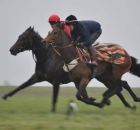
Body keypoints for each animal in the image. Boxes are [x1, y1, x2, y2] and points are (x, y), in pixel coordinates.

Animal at [2, 26, 140, 110]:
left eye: (24, 37)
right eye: (19, 36)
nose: (12, 50)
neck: (47, 57)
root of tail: (125, 54)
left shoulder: (56, 81)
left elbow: (56, 97)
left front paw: (53, 112)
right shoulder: (38, 77)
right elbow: (22, 86)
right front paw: (5, 96)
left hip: (112, 75)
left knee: (119, 86)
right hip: (104, 77)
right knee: (120, 86)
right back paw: (129, 104)